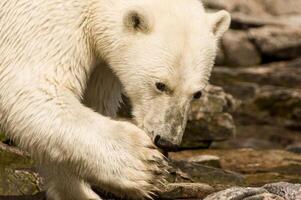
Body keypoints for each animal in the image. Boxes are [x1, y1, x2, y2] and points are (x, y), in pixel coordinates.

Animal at [0, 0, 230, 199]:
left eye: (197, 93)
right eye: (160, 84)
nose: (167, 141)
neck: (92, 5)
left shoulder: (102, 67)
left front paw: (76, 191)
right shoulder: (46, 21)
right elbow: (31, 90)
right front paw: (143, 164)